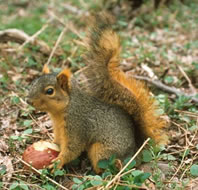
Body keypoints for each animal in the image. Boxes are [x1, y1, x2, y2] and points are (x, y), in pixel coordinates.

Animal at [27, 13, 168, 174]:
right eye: (34, 82)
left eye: (49, 91)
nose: (29, 101)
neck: (64, 108)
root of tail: (135, 152)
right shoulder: (58, 130)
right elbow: (57, 143)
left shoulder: (78, 127)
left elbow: (73, 149)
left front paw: (57, 163)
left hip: (100, 151)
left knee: (111, 167)